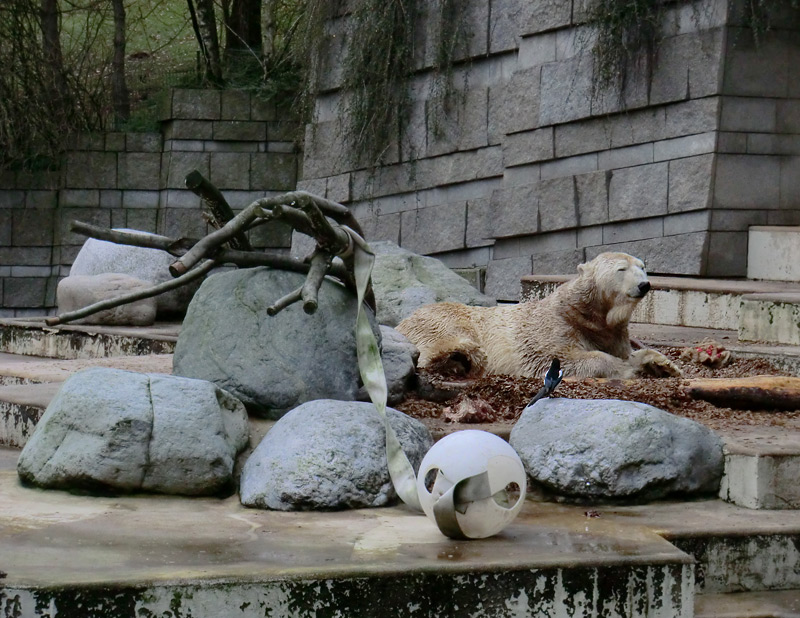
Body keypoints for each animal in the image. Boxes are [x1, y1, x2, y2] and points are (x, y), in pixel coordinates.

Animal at [394, 251, 680, 378]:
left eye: (642, 267)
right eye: (622, 269)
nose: (644, 285)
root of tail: (401, 323)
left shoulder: (612, 333)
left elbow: (628, 351)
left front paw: (662, 364)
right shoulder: (551, 327)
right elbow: (554, 358)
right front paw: (625, 368)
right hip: (441, 318)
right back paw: (457, 357)